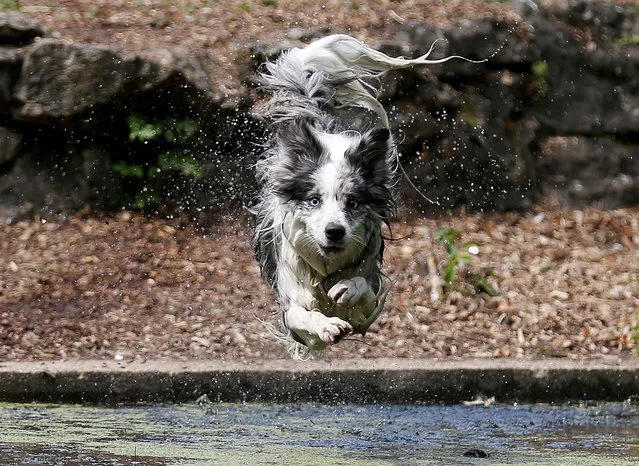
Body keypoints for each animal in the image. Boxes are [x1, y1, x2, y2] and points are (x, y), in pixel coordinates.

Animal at [250, 34, 476, 358]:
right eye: (314, 200)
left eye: (353, 202)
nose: (334, 231)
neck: (326, 268)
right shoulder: (290, 302)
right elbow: (302, 315)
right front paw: (326, 325)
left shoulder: (370, 298)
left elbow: (365, 291)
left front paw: (350, 288)